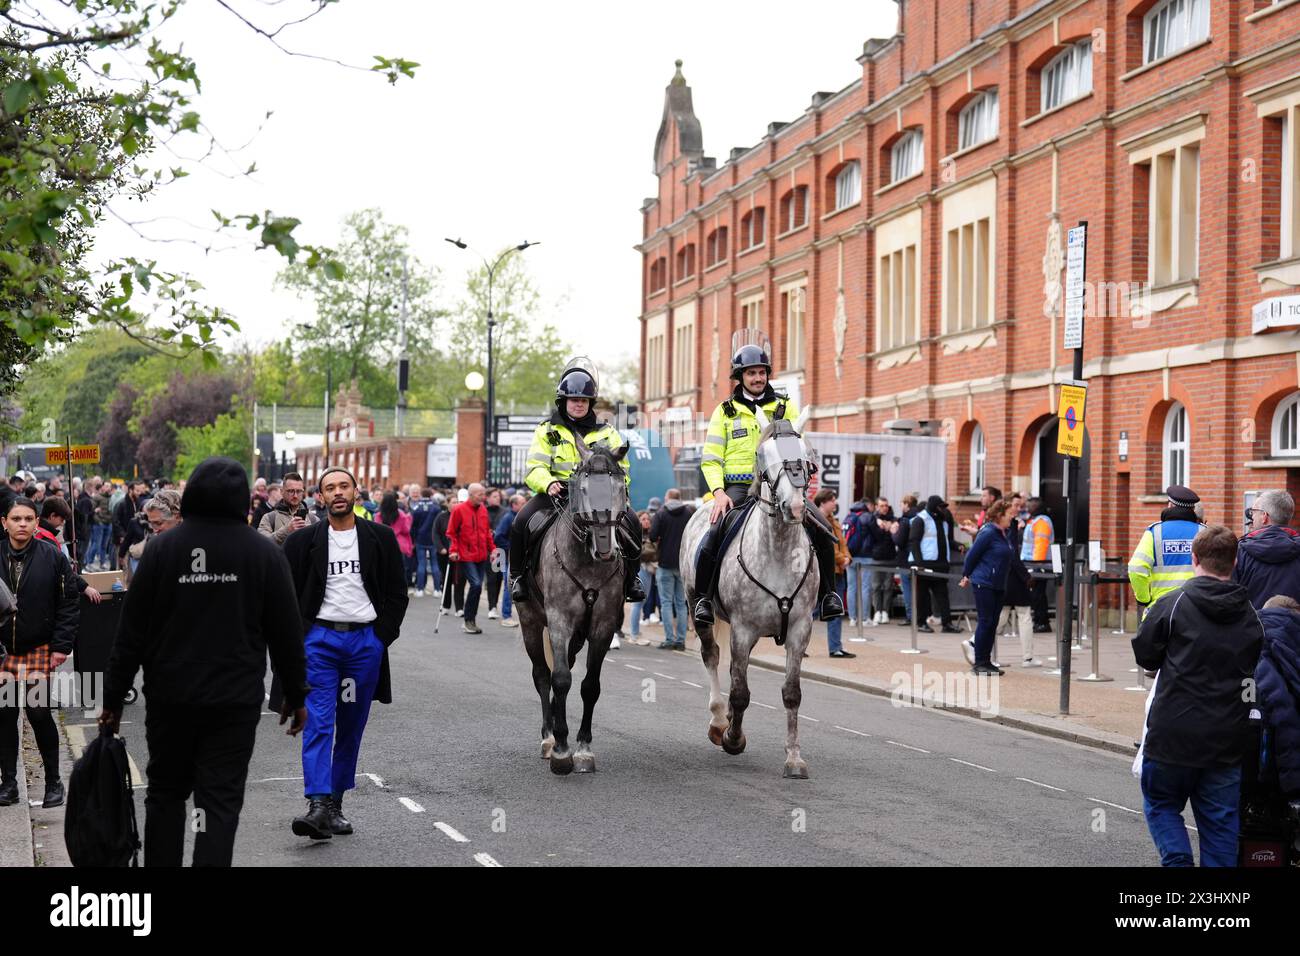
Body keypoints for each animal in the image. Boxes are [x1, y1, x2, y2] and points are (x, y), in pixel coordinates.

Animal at [514, 442, 631, 780]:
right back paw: (549, 736)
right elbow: (561, 678)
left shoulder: (603, 625)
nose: (605, 550)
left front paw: (583, 748)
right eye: (583, 487)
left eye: (621, 486)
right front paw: (562, 751)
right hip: (530, 622)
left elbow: (590, 686)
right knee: (542, 674)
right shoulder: (559, 621)